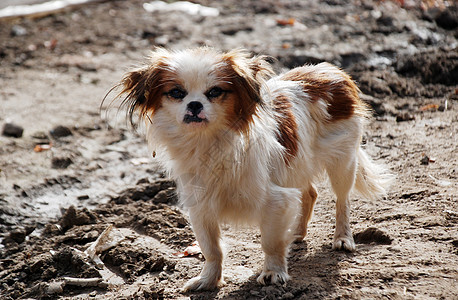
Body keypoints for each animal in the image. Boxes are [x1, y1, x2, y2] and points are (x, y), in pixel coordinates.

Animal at [110, 47, 390, 290]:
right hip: (297, 165)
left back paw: (343, 238)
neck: (208, 143)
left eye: (215, 92)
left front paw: (274, 273)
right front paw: (208, 281)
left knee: (342, 201)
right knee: (310, 193)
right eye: (177, 93)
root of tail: (333, 72)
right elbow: (212, 249)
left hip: (343, 163)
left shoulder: (275, 201)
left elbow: (270, 243)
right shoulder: (201, 207)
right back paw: (296, 233)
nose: (195, 105)